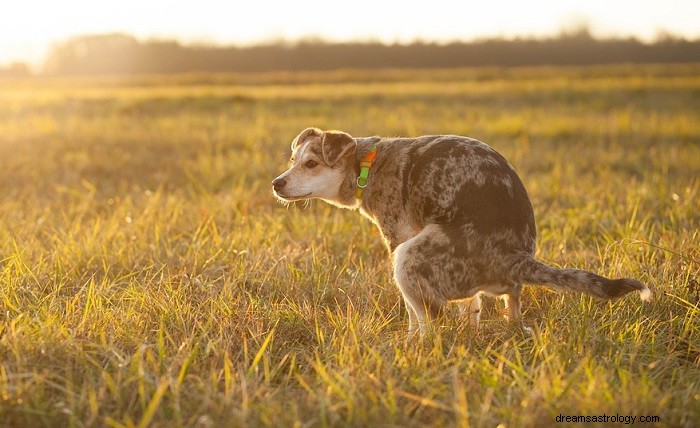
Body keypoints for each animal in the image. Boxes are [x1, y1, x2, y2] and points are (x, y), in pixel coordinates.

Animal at [272, 127, 652, 338]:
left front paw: (409, 342)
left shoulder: (397, 239)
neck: (367, 164)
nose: (276, 183)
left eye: (311, 164)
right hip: (497, 288)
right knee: (508, 307)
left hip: (409, 257)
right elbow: (472, 307)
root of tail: (515, 257)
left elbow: (413, 315)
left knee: (431, 323)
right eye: (292, 160)